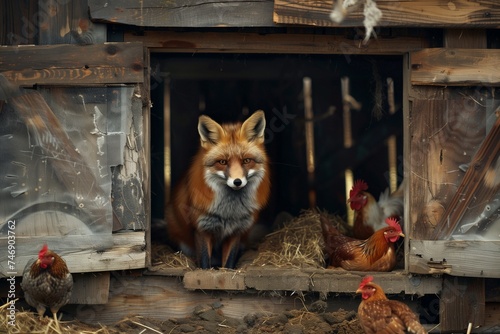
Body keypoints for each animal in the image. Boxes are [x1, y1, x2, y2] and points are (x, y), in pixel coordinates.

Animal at [166, 111, 270, 268]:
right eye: (222, 162)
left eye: (246, 161)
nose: (237, 182)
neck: (228, 212)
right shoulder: (202, 227)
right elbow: (204, 262)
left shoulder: (236, 230)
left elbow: (229, 262)